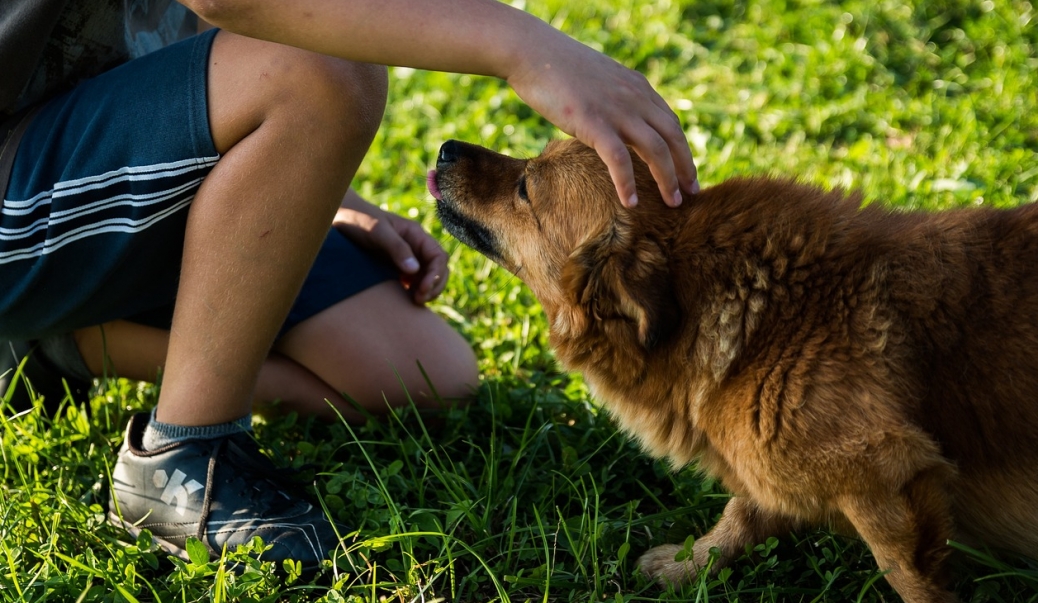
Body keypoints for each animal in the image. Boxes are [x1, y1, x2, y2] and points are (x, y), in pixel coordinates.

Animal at [425, 138, 1038, 601]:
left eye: (526, 187)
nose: (446, 147)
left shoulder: (886, 476)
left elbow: (910, 580)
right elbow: (741, 515)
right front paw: (688, 567)